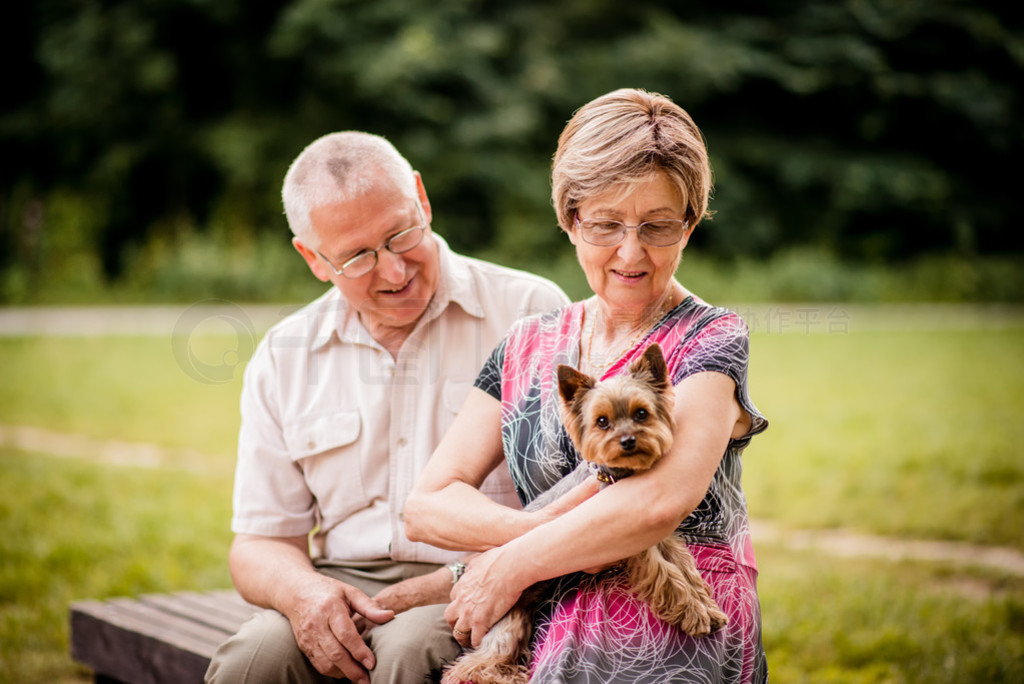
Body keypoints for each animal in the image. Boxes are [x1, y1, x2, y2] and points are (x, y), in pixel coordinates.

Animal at [442, 344, 729, 684]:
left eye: (641, 413)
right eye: (602, 421)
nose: (628, 441)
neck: (620, 476)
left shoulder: (659, 536)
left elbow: (684, 568)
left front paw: (707, 606)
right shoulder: (631, 544)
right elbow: (668, 576)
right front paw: (694, 613)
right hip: (504, 622)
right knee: (471, 666)